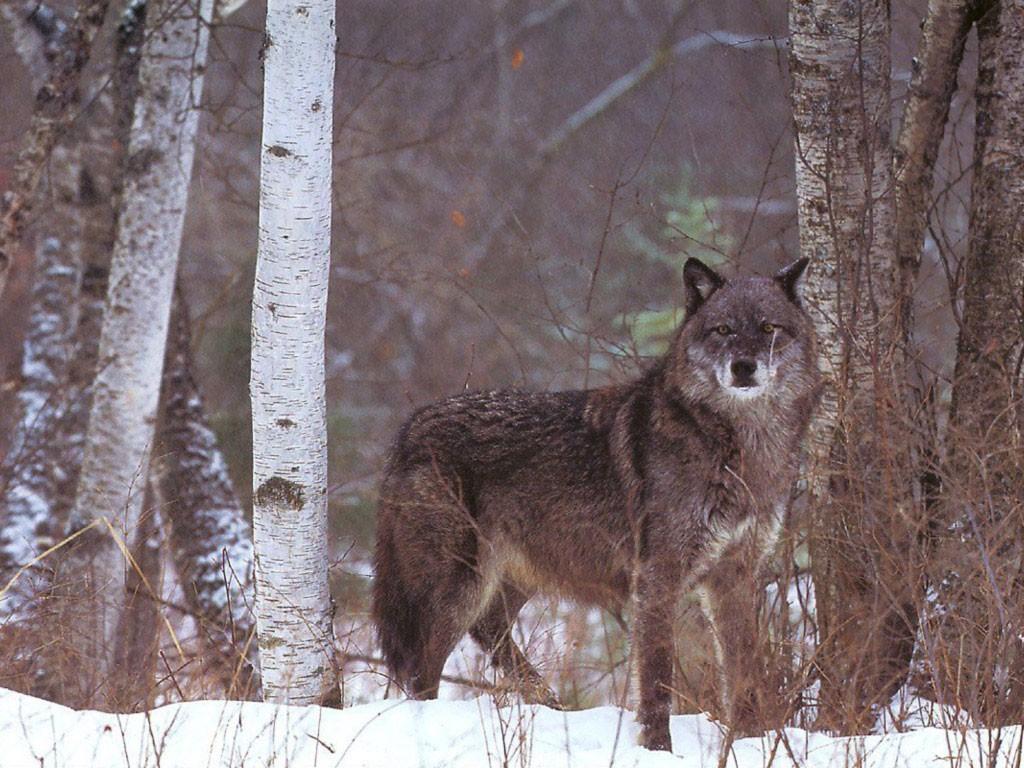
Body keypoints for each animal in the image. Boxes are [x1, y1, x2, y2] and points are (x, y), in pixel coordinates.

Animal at [372, 259, 819, 753]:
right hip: (459, 585)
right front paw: (658, 750)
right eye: (723, 330)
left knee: (488, 630)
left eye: (768, 328)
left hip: (517, 577)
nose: (744, 367)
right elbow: (657, 679)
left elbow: (745, 674)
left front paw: (750, 743)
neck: (738, 447)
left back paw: (548, 701)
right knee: (422, 669)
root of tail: (409, 428)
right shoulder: (657, 577)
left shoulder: (734, 577)